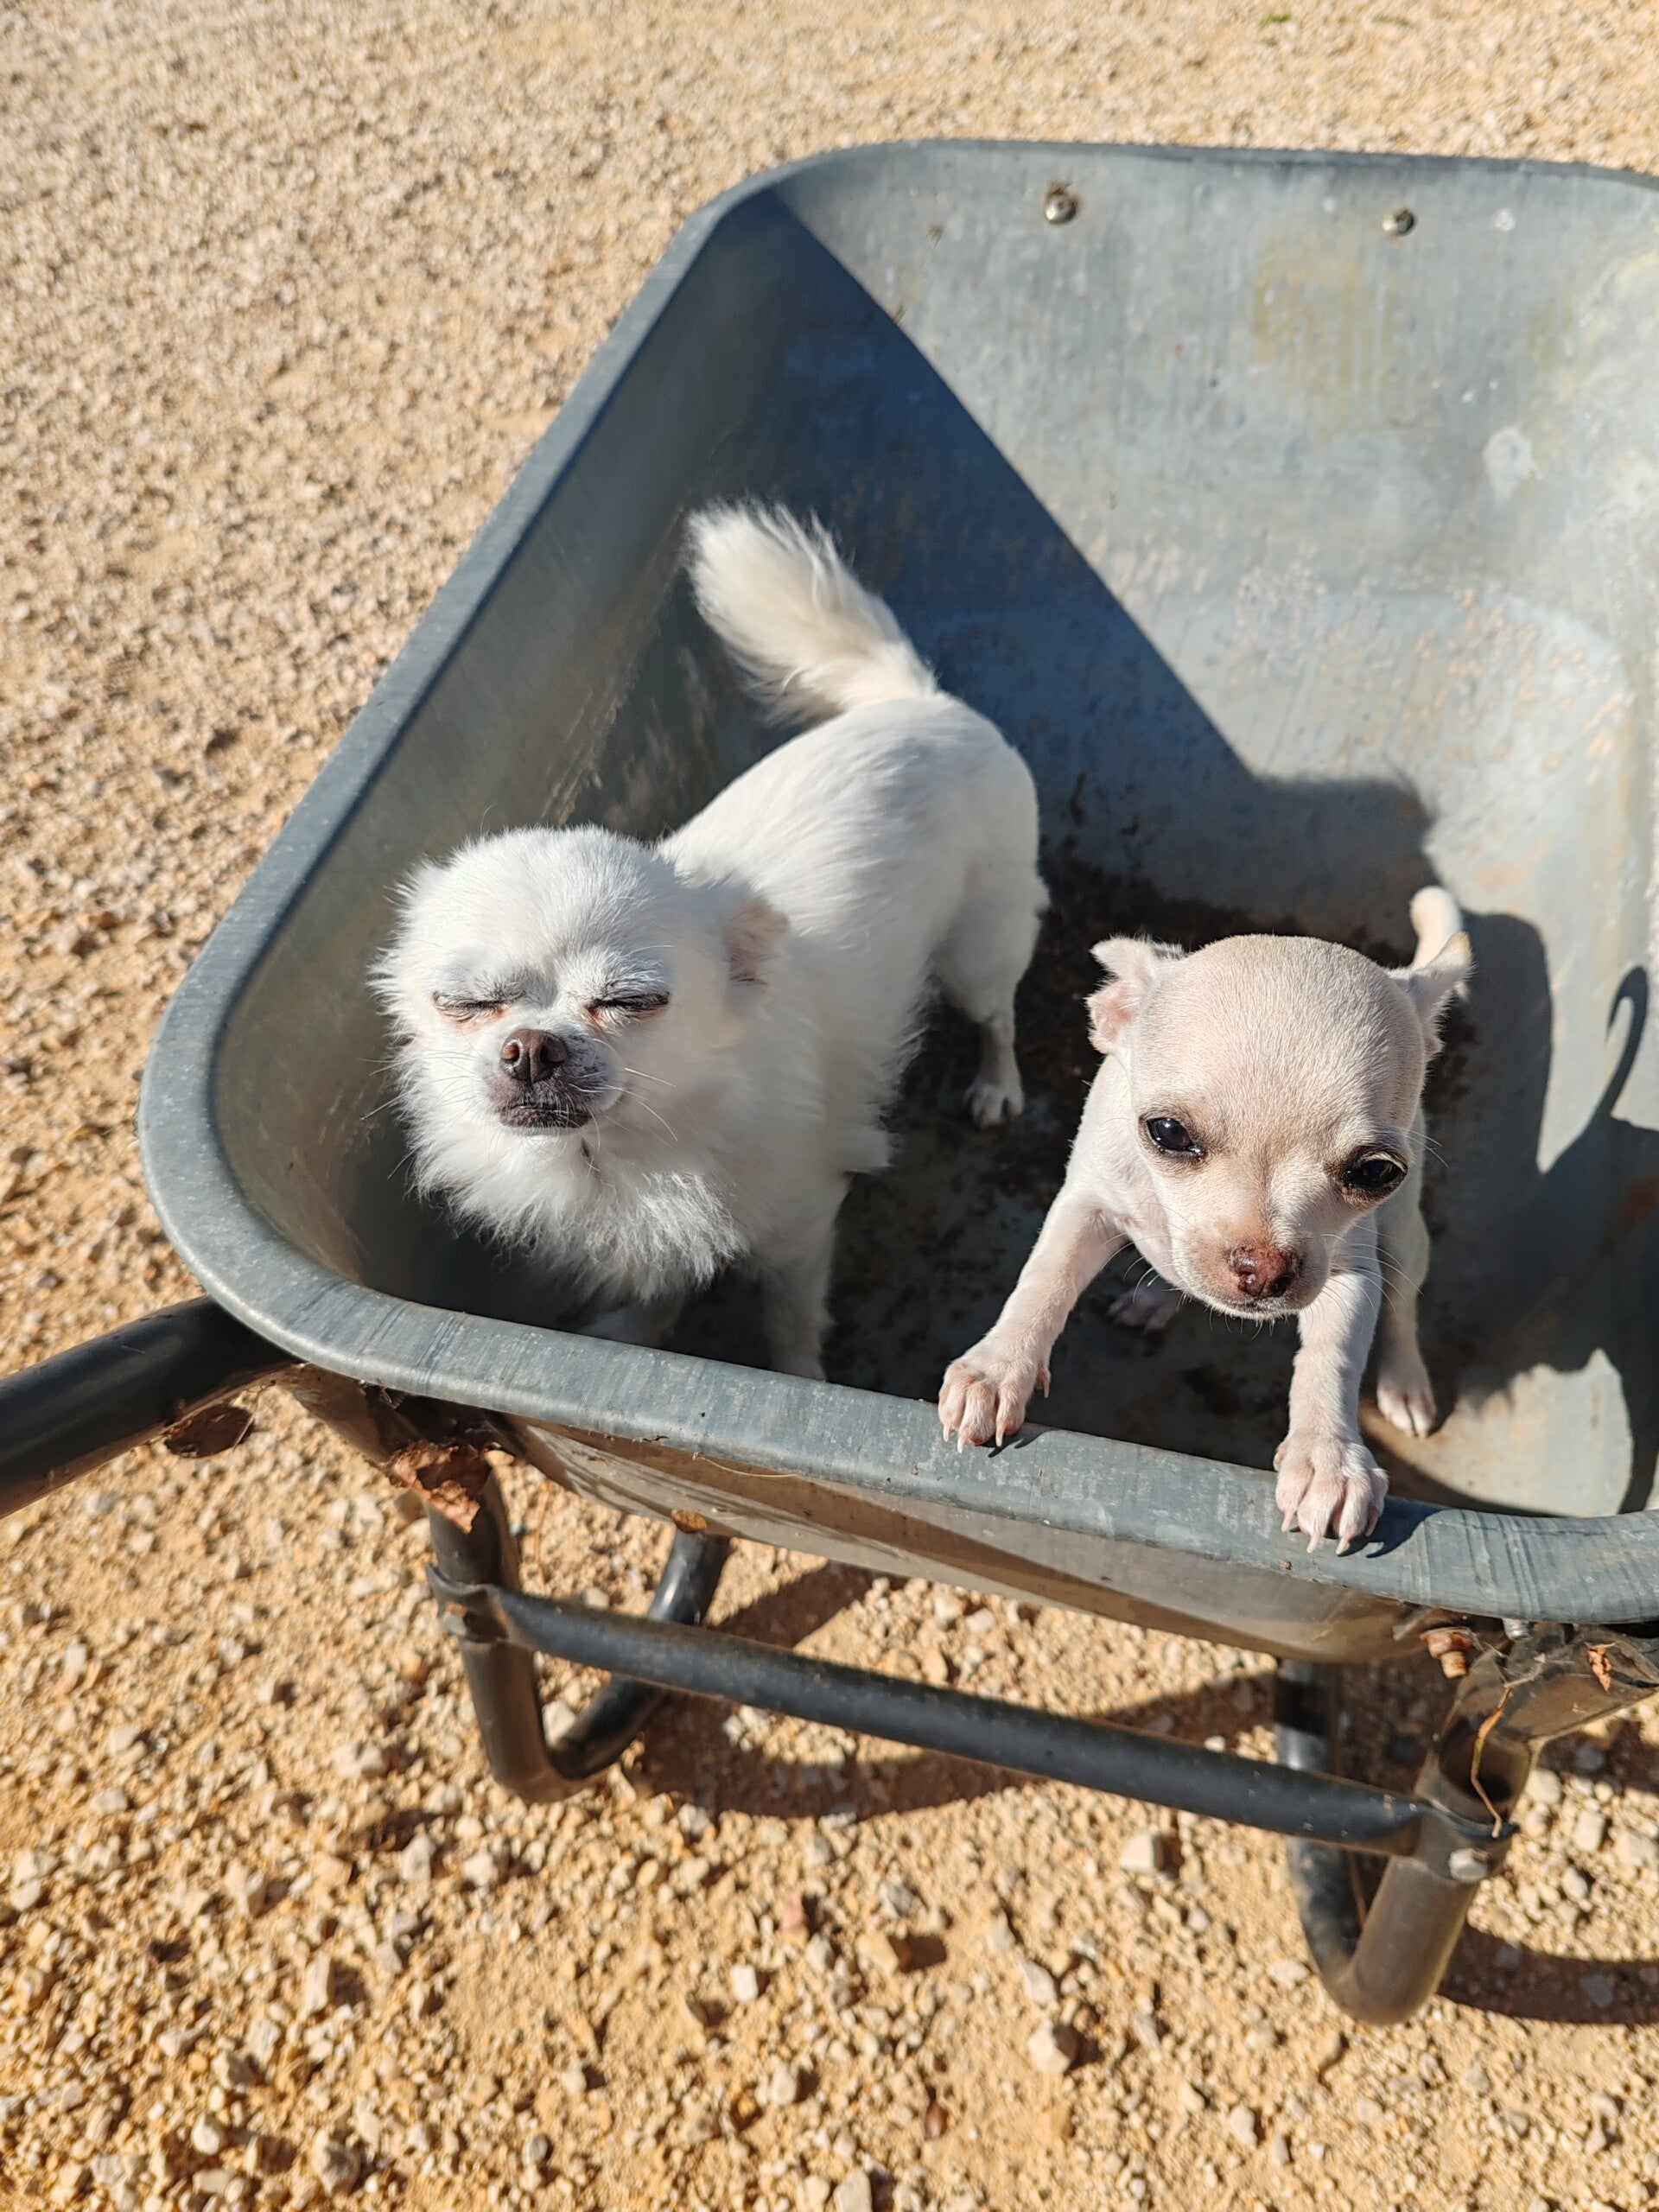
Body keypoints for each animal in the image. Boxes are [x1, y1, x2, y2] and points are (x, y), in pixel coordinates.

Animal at [376, 504, 1047, 1376]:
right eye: (465, 1004)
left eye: (630, 1002)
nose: (531, 1046)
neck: (616, 1149)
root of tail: (926, 701)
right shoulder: (657, 1227)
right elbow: (664, 1282)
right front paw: (640, 1334)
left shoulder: (799, 1221)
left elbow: (788, 1320)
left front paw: (802, 1382)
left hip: (977, 950)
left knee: (997, 1015)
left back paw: (997, 1086)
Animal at [938, 889, 1471, 1547]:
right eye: (1168, 1132)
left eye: (1375, 1172)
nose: (1263, 1268)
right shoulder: (1086, 1203)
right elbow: (1044, 1281)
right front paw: (997, 1369)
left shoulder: (1350, 1272)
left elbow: (1333, 1357)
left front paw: (1329, 1461)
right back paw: (1155, 1299)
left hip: (1404, 1237)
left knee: (1401, 1308)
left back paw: (1404, 1382)